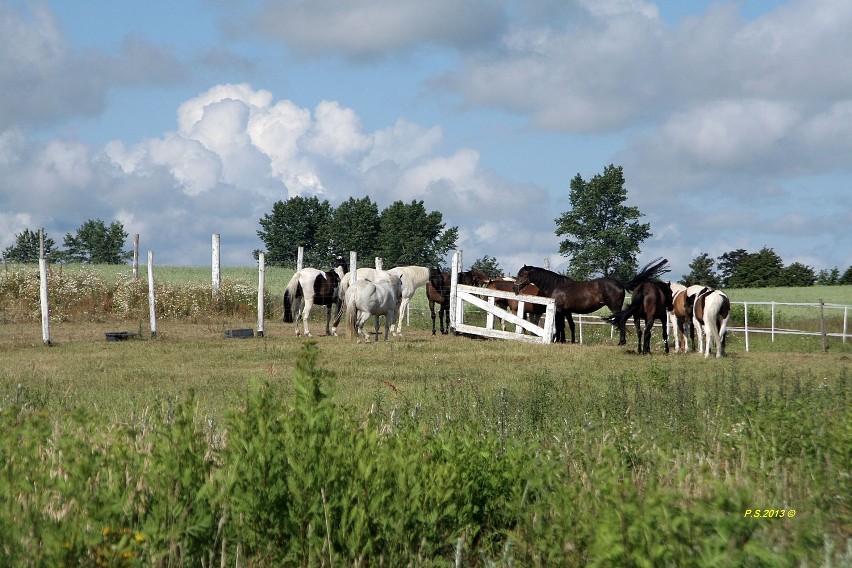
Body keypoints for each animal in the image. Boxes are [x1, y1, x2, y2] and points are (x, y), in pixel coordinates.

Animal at [512, 258, 672, 346]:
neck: (556, 285)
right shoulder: (566, 311)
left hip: (615, 307)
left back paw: (621, 342)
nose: (514, 287)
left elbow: (560, 325)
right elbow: (570, 325)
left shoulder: (559, 311)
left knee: (621, 321)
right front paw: (569, 341)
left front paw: (559, 340)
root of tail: (619, 283)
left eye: (522, 274)